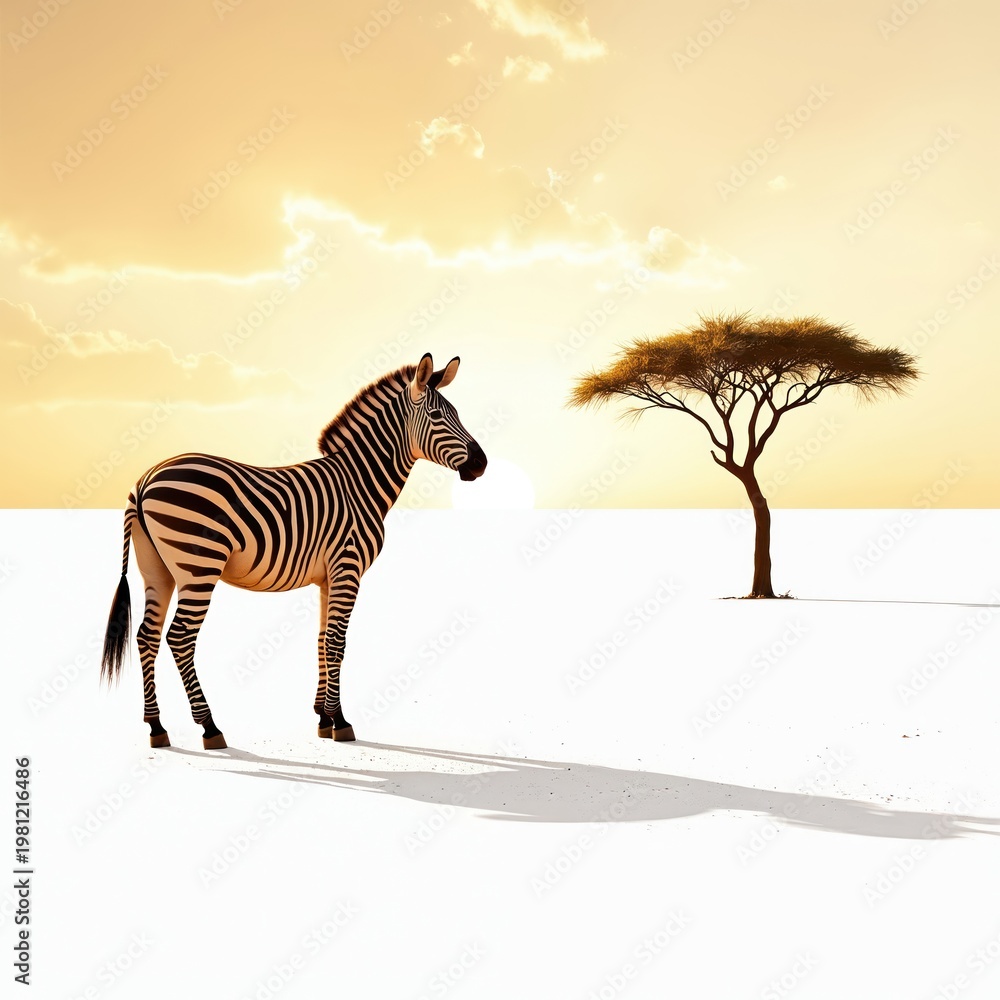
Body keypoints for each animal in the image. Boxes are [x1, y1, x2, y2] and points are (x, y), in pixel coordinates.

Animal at [100, 353, 487, 749]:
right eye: (438, 416)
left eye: (457, 414)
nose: (482, 463)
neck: (359, 484)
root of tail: (144, 479)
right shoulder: (348, 567)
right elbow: (337, 642)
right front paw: (340, 721)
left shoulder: (329, 577)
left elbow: (321, 640)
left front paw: (323, 717)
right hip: (199, 566)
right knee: (179, 637)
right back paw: (209, 726)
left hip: (157, 570)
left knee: (146, 636)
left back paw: (156, 726)